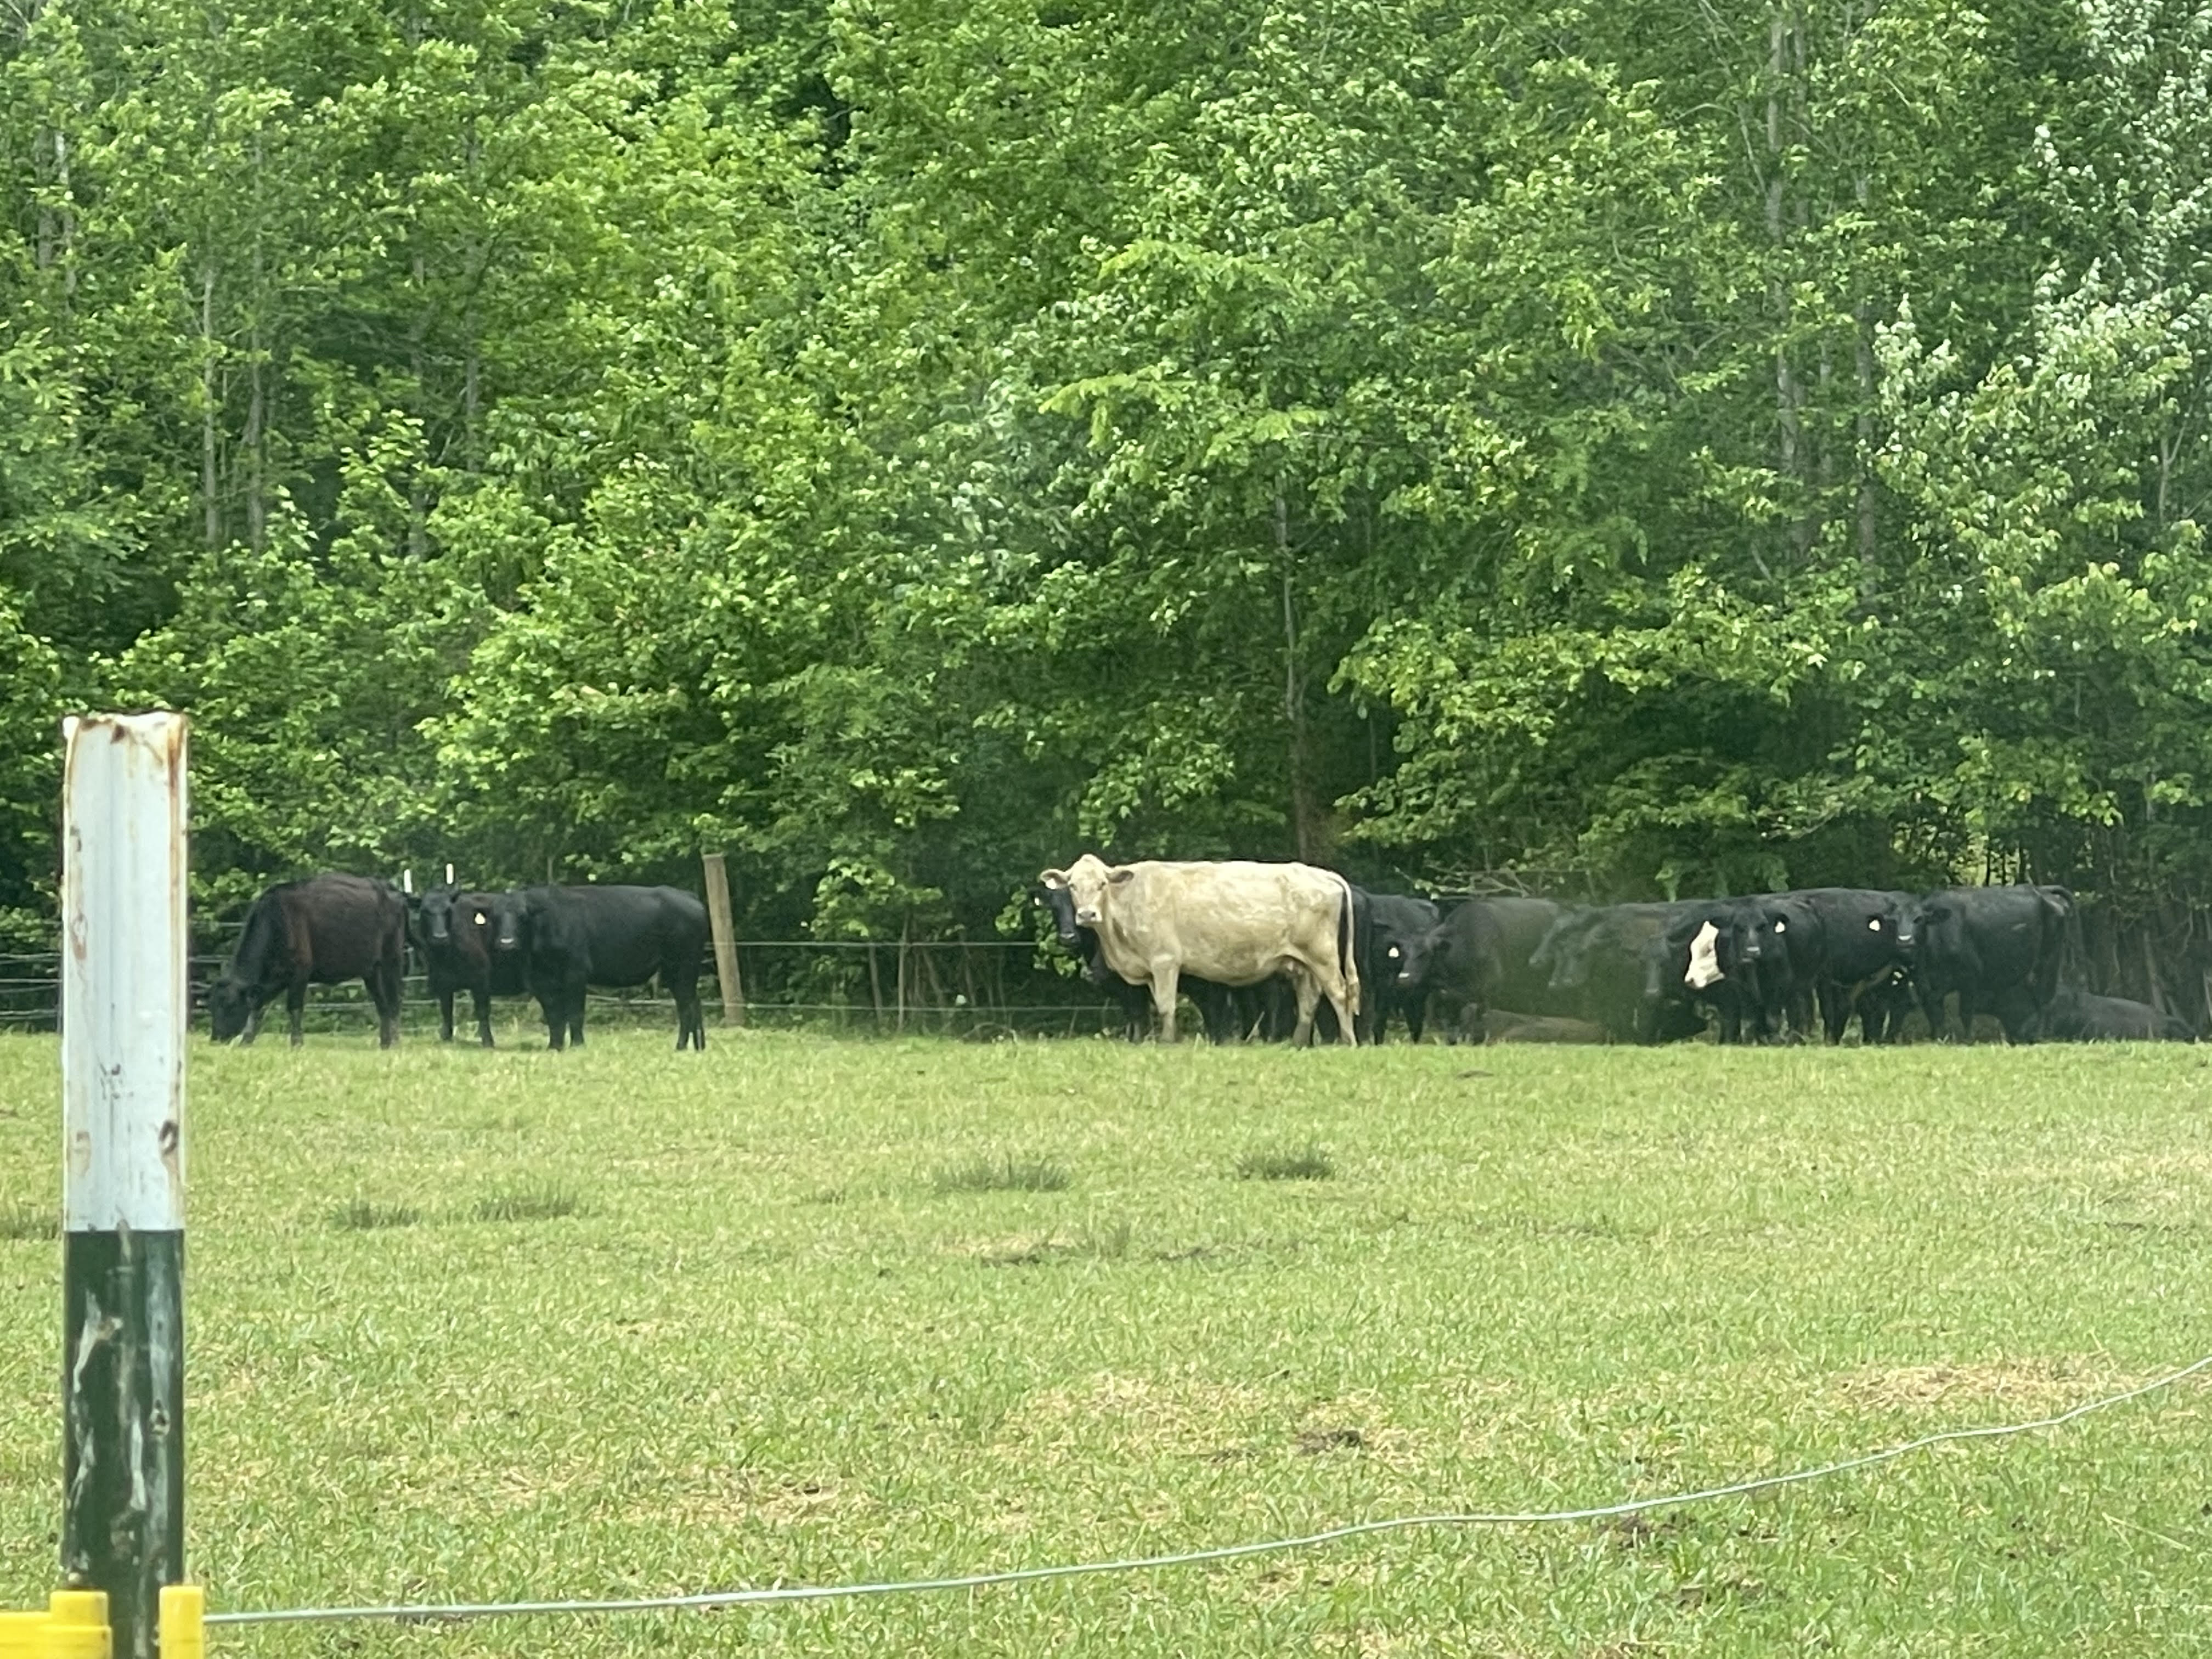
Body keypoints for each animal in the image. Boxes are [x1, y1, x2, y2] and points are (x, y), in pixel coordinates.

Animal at [205, 873, 408, 1048]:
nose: (216, 1037)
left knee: (394, 1001)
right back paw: (385, 1043)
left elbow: (294, 1007)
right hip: (371, 970)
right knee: (382, 1004)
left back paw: (396, 1042)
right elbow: (257, 1007)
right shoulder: (274, 979)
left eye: (230, 1006)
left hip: (391, 960)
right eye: (212, 1006)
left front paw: (296, 1042)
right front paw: (246, 1040)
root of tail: (388, 888)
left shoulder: (300, 972)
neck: (277, 920)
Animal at [412, 883, 525, 1046]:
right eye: (425, 911)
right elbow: (446, 1010)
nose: (440, 937)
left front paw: (488, 1041)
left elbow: (482, 1011)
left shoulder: (481, 981)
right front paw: (446, 1037)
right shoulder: (442, 982)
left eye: (448, 910)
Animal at [487, 884, 710, 1050]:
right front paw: (554, 1046)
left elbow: (575, 1013)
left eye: (522, 916)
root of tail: (686, 895)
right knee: (694, 1003)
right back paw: (698, 1046)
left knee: (686, 1006)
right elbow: (554, 1015)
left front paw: (577, 1045)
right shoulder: (540, 982)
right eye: (495, 917)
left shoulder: (576, 974)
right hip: (675, 973)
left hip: (683, 967)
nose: (507, 943)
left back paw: (680, 1046)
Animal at [1037, 855, 1359, 1045]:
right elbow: (1156, 1005)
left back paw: (1348, 1041)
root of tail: (1320, 873)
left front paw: (1168, 1042)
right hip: (1302, 962)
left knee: (1339, 992)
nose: (1086, 915)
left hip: (1323, 955)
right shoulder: (1149, 971)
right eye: (1073, 886)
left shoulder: (1165, 961)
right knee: (1308, 1000)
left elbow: (1166, 1005)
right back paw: (1298, 1043)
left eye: (1102, 884)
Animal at [1911, 884, 2075, 1043]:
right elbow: (1934, 1013)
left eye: (1919, 920)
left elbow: (1965, 1011)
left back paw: (2038, 1036)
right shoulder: (1925, 986)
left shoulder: (1970, 976)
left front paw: (1968, 1039)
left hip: (2049, 960)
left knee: (2044, 999)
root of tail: (2042, 890)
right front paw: (1937, 1037)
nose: (1907, 939)